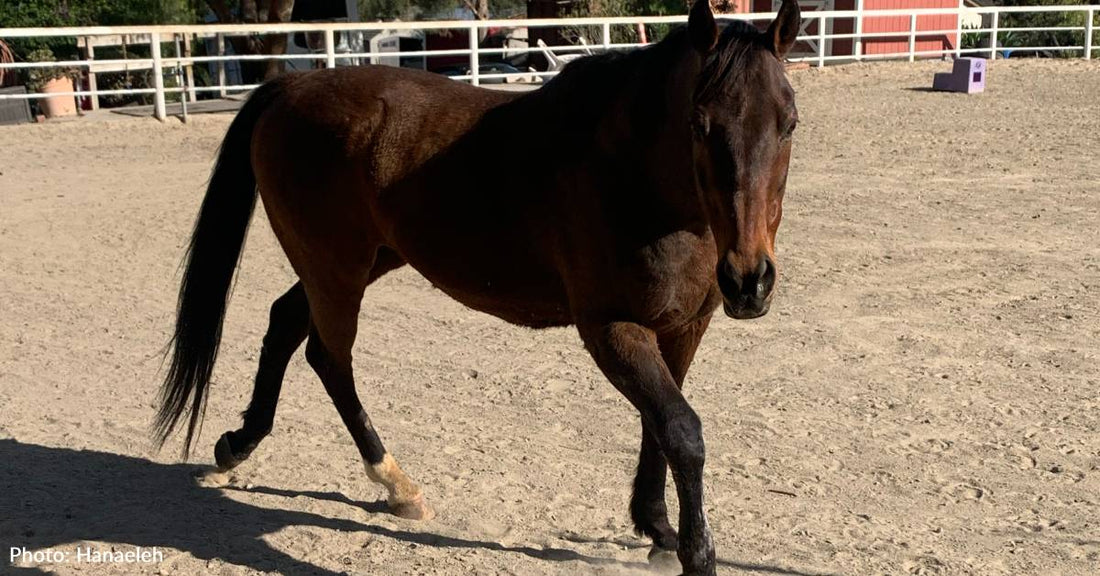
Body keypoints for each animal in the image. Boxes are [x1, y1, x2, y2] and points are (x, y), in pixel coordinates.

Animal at [157, 2, 800, 571]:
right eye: (700, 123)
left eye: (790, 123)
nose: (749, 280)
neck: (633, 176)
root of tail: (290, 87)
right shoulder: (612, 329)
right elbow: (682, 431)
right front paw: (694, 551)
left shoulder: (684, 326)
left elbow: (659, 426)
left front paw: (657, 527)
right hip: (335, 269)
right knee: (328, 358)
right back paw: (394, 481)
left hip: (355, 264)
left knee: (286, 321)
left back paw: (240, 444)